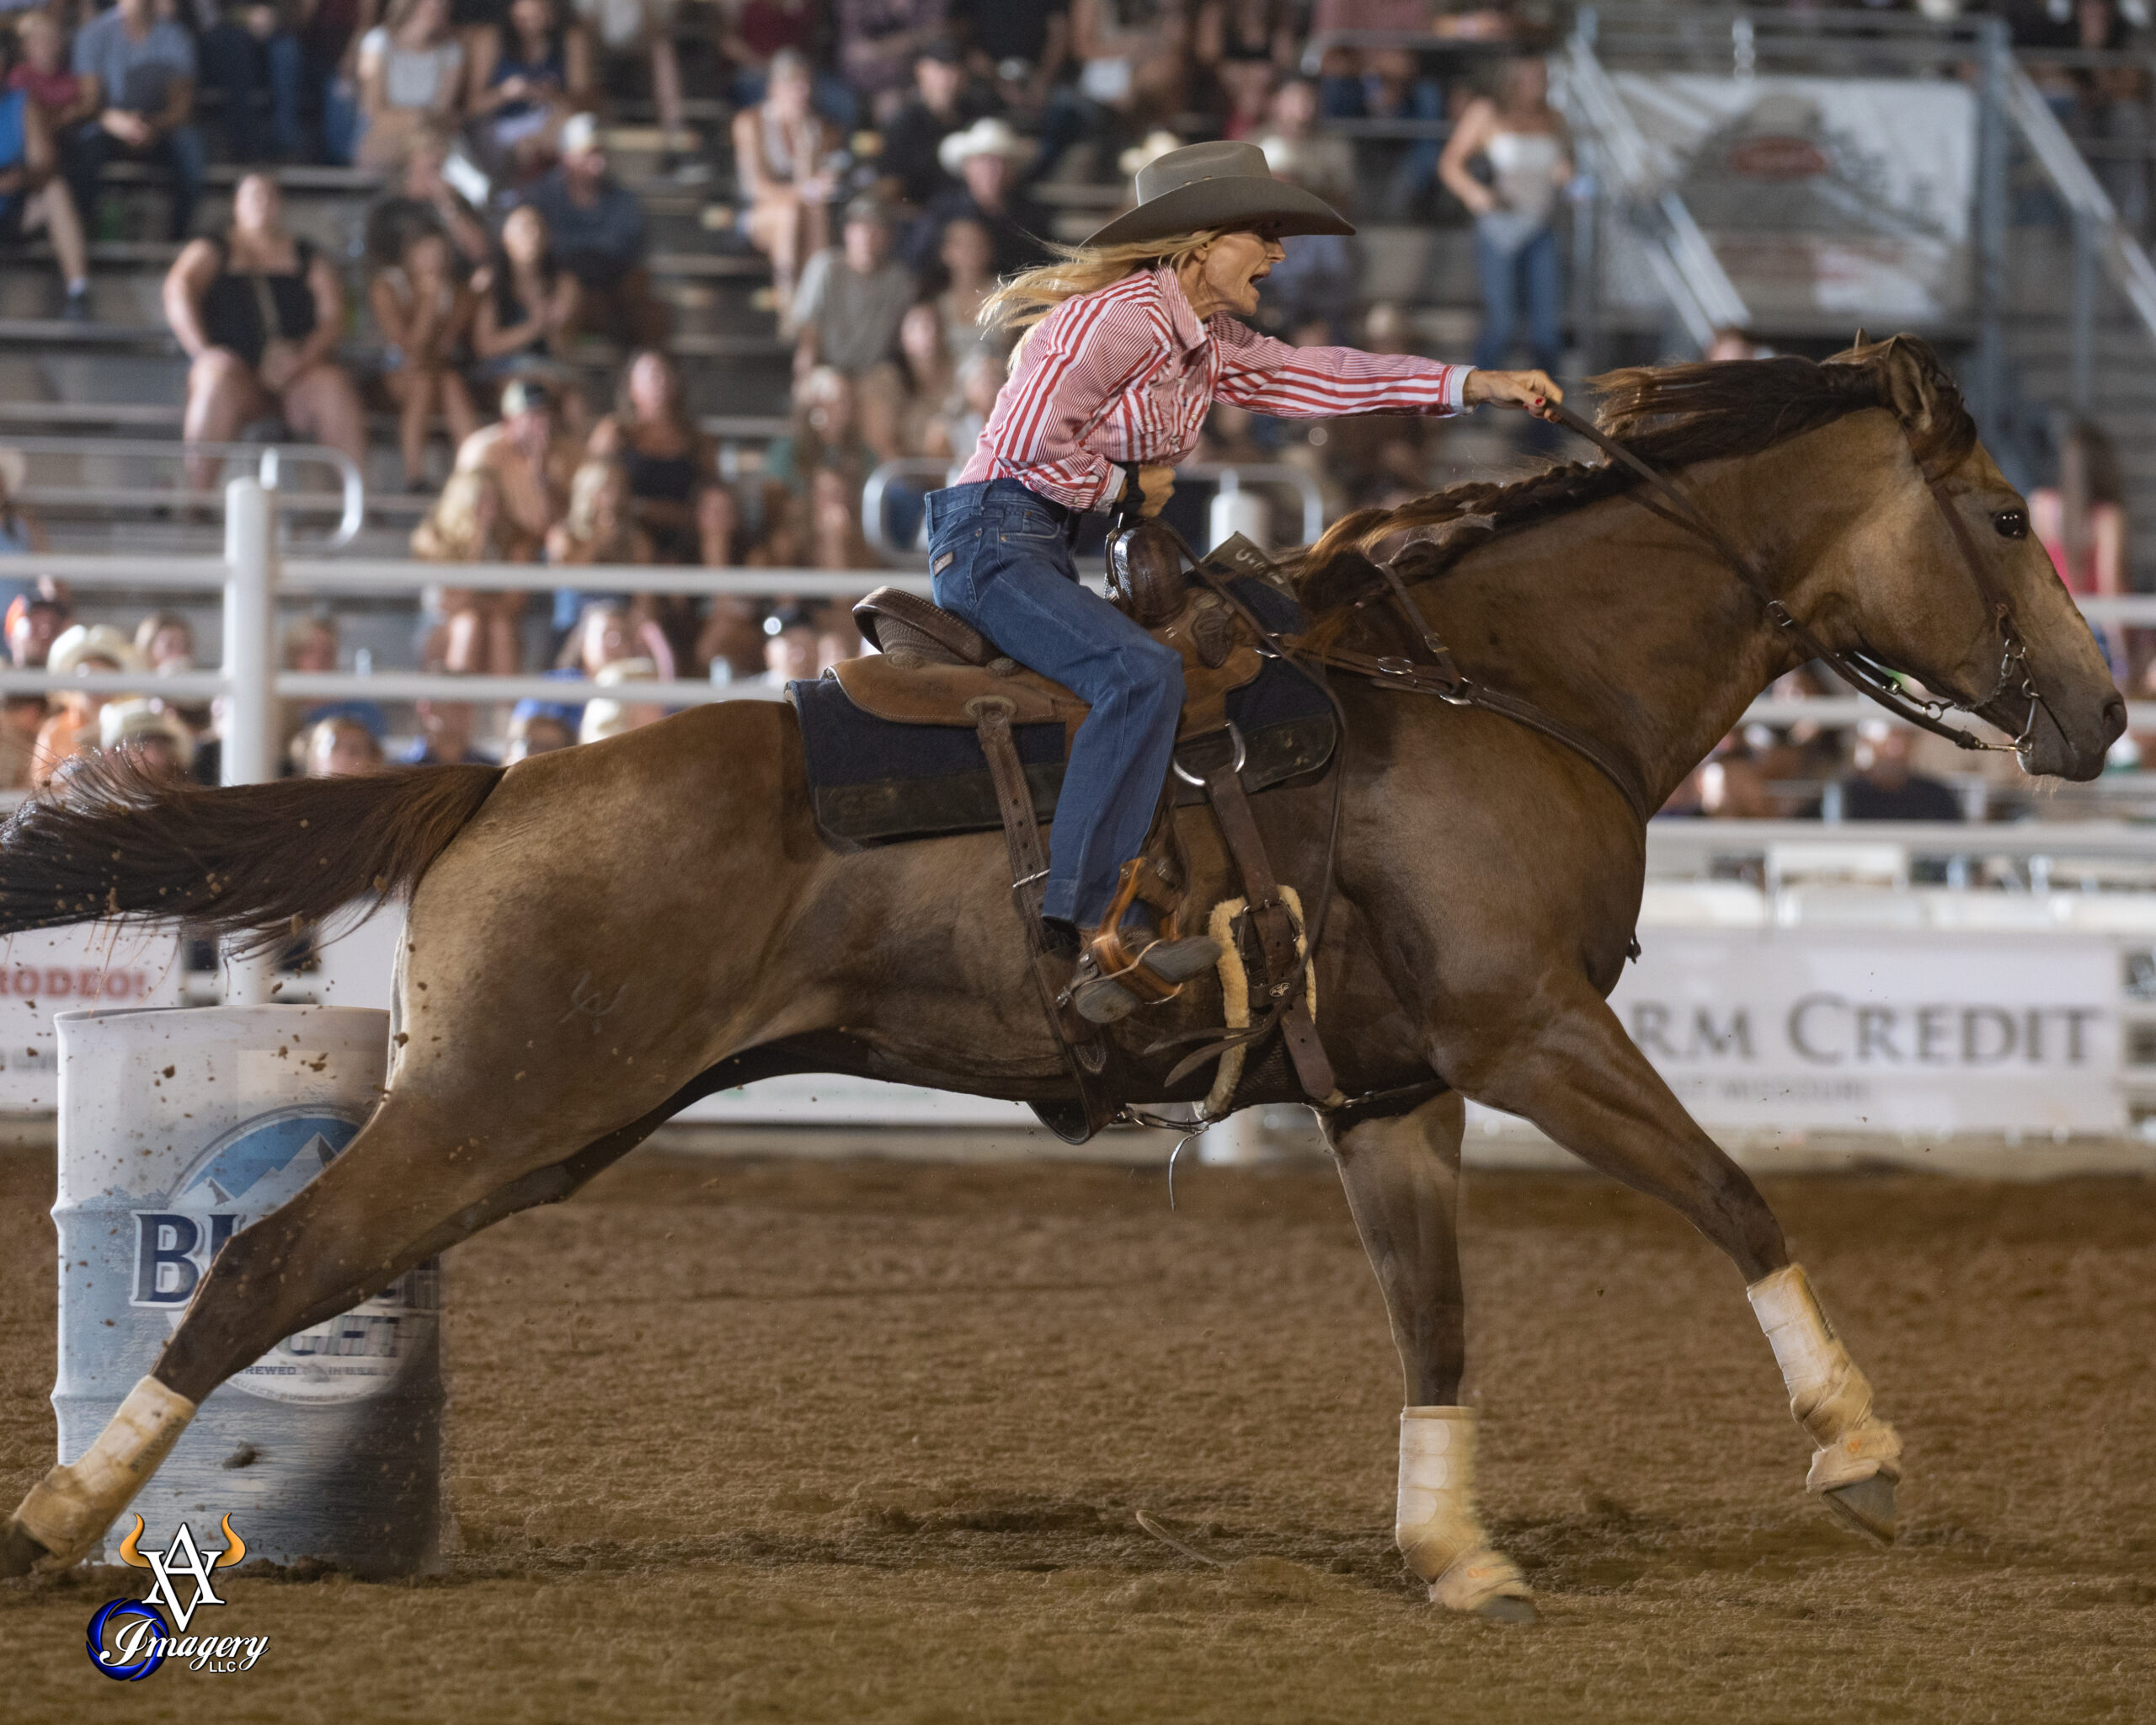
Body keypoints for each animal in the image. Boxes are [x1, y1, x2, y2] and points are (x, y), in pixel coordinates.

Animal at [0, 337, 2125, 1618]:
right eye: (2006, 515)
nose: (2103, 714)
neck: (1501, 681)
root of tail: (505, 776)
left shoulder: (1389, 1089)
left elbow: (1434, 1318)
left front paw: (1449, 1543)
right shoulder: (1530, 1027)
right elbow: (1732, 1190)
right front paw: (1858, 1446)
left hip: (535, 1124)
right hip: (493, 1100)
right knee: (267, 1269)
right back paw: (63, 1520)